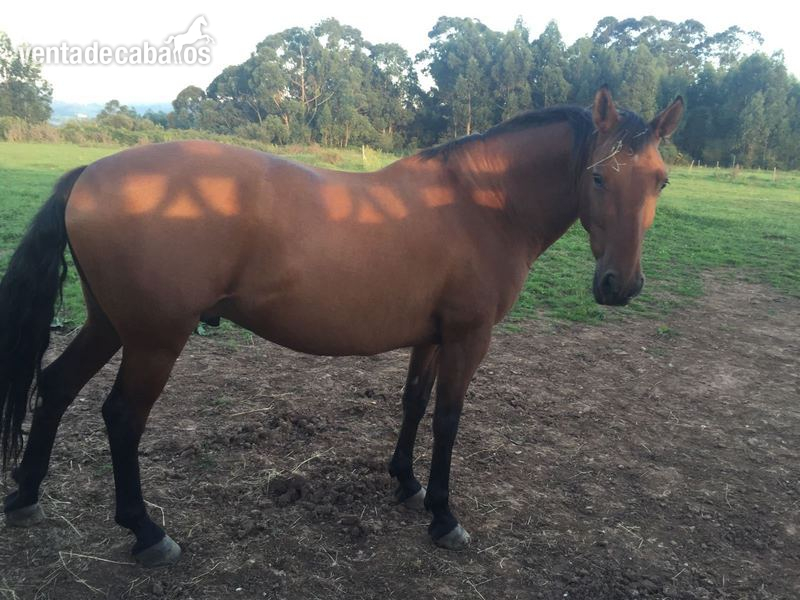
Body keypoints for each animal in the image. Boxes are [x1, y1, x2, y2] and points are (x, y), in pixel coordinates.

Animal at [0, 87, 683, 567]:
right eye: (599, 176)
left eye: (660, 179)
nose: (620, 285)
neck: (480, 204)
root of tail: (89, 174)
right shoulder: (468, 337)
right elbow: (448, 418)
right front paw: (443, 515)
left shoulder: (431, 336)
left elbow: (413, 403)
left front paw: (406, 482)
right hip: (154, 340)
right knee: (120, 417)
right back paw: (146, 532)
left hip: (110, 325)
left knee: (55, 386)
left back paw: (26, 495)